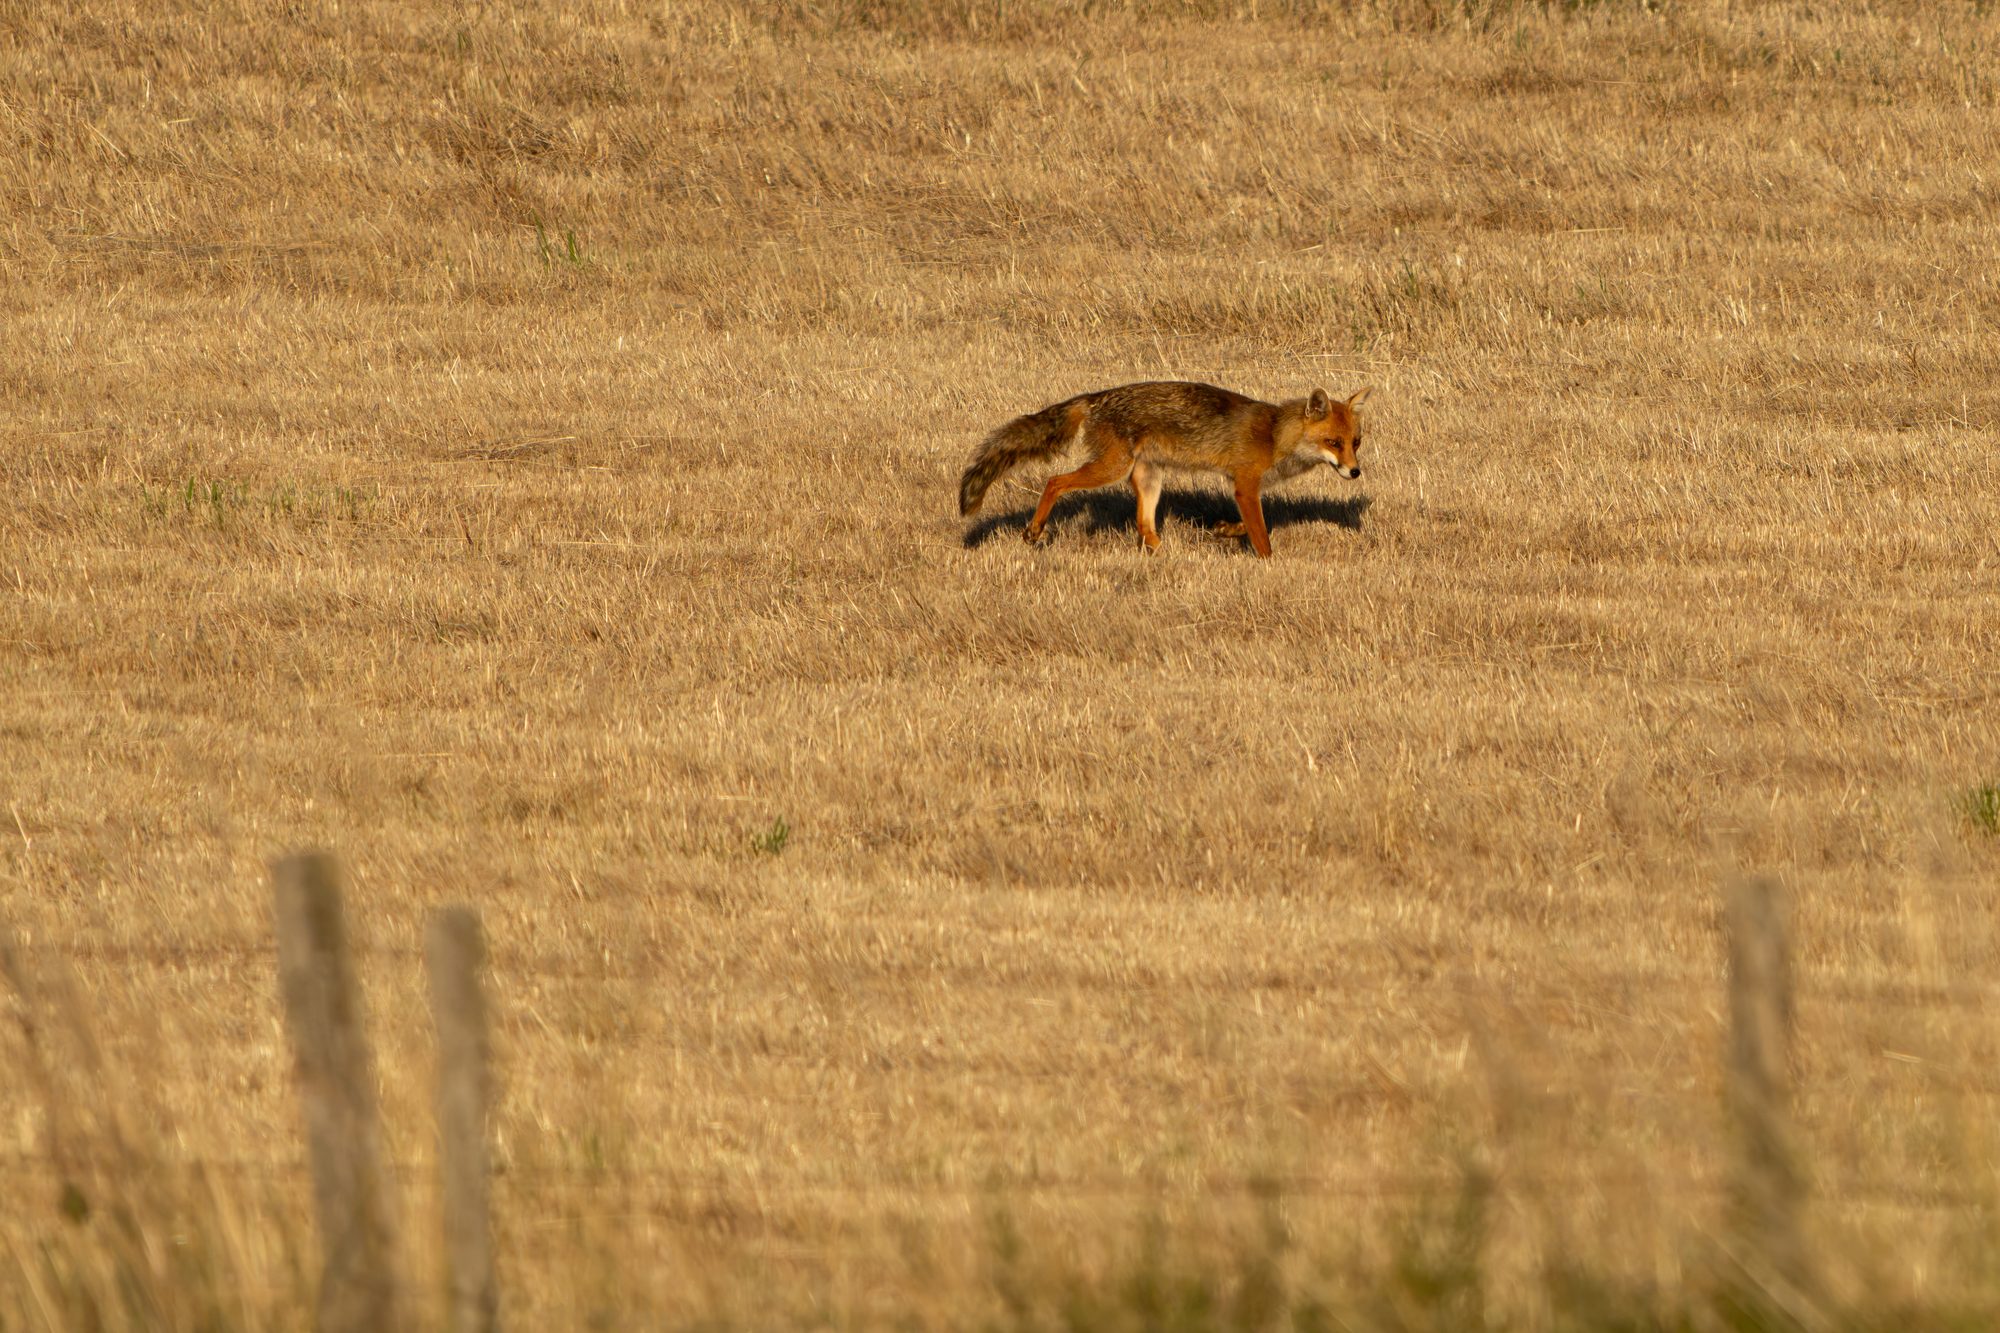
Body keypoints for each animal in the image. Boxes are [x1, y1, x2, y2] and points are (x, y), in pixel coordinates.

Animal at [957, 381, 1372, 557]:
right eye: (1333, 443)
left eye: (1356, 443)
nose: (1355, 473)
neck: (1274, 437)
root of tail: (1097, 397)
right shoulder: (1244, 484)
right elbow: (1263, 536)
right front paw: (1269, 566)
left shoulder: (1244, 489)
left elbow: (1246, 525)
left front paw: (1224, 531)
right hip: (1110, 468)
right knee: (1055, 481)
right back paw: (1034, 530)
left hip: (1148, 477)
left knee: (1144, 526)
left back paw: (1165, 554)